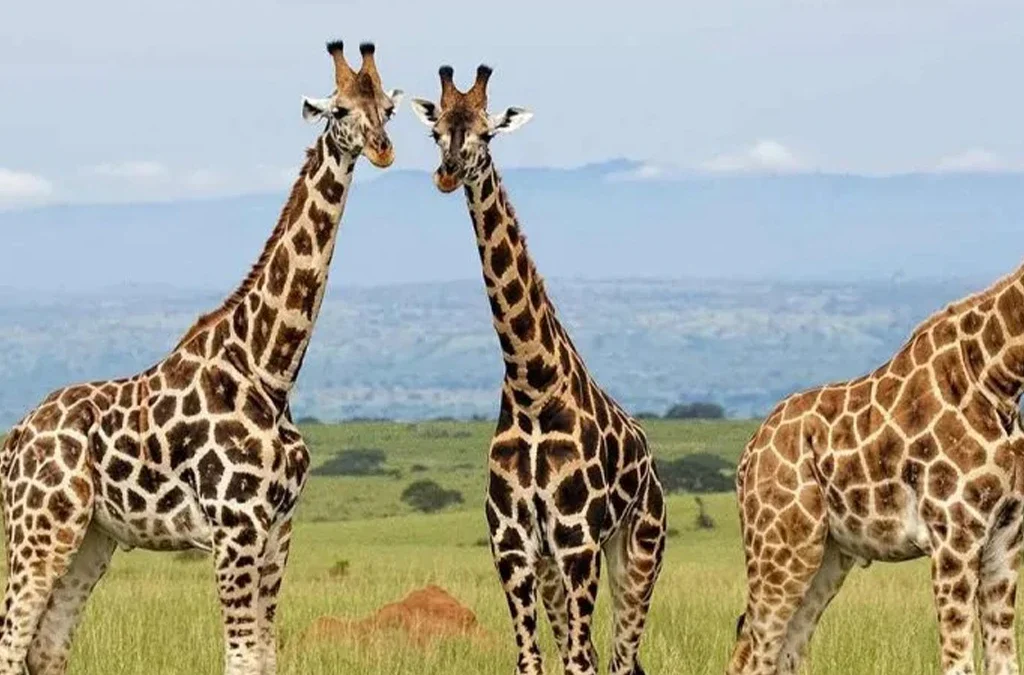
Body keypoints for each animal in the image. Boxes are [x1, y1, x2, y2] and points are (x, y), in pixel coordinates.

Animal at [0, 40, 401, 675]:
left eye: (387, 106)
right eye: (339, 110)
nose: (384, 149)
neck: (270, 369)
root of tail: (16, 435)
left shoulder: (278, 530)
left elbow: (265, 657)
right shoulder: (235, 527)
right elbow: (240, 659)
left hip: (93, 535)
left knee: (46, 648)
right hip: (41, 527)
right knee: (11, 643)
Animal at [410, 65, 667, 675]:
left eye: (486, 133)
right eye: (437, 132)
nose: (447, 174)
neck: (532, 386)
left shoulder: (577, 541)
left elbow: (576, 661)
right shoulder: (512, 544)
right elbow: (532, 659)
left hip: (638, 551)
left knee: (620, 657)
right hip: (560, 567)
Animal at [728, 262, 1024, 675]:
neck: (997, 381)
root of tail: (749, 454)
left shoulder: (1006, 539)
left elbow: (1004, 659)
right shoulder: (955, 536)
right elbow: (957, 659)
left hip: (828, 555)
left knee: (788, 649)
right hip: (782, 546)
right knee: (754, 654)